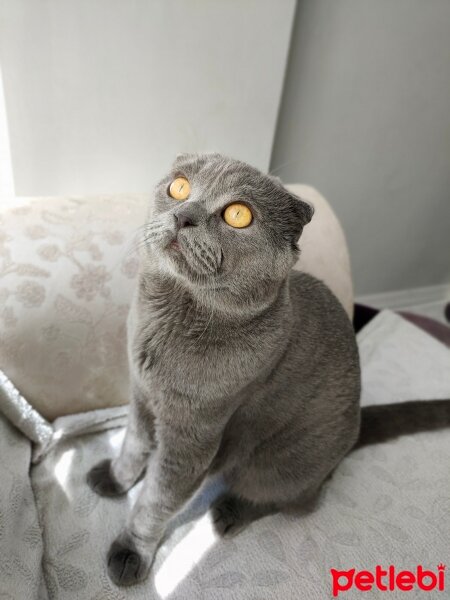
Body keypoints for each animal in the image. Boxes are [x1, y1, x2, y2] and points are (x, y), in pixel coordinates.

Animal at [86, 154, 448, 584]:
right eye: (179, 187)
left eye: (238, 215)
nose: (184, 215)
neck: (169, 320)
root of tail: (356, 428)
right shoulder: (141, 396)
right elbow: (133, 445)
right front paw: (115, 478)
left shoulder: (193, 438)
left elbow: (156, 499)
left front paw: (131, 551)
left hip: (283, 463)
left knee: (297, 502)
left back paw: (227, 513)